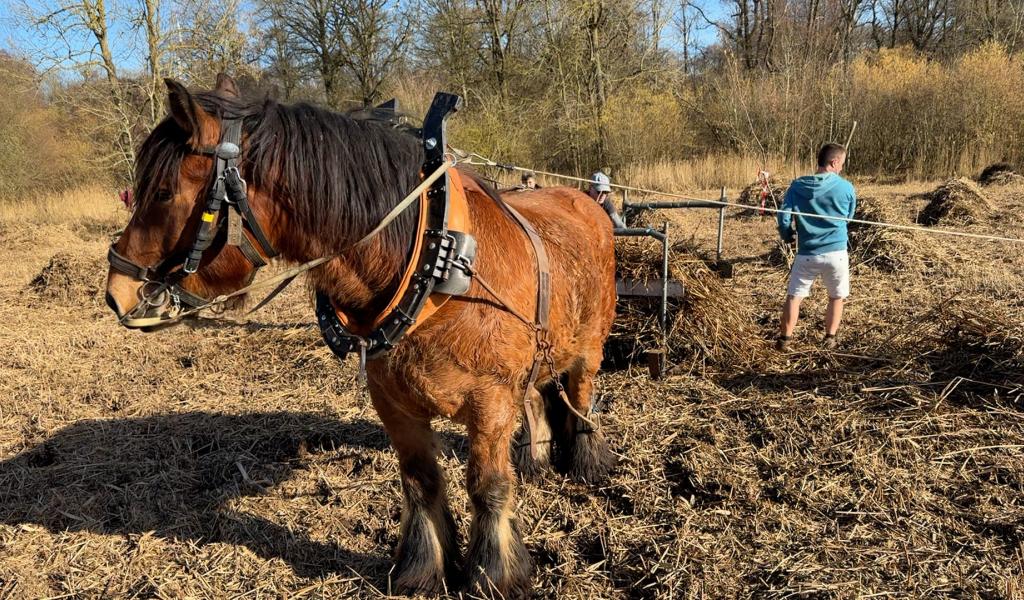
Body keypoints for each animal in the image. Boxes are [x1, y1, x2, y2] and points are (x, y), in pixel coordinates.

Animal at [104, 74, 617, 598]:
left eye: (164, 192)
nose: (116, 292)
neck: (437, 263)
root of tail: (583, 201)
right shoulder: (393, 403)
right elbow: (420, 481)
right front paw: (422, 569)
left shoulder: (490, 402)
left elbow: (488, 485)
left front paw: (495, 575)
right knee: (535, 397)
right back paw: (534, 459)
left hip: (589, 347)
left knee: (580, 395)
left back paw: (587, 460)